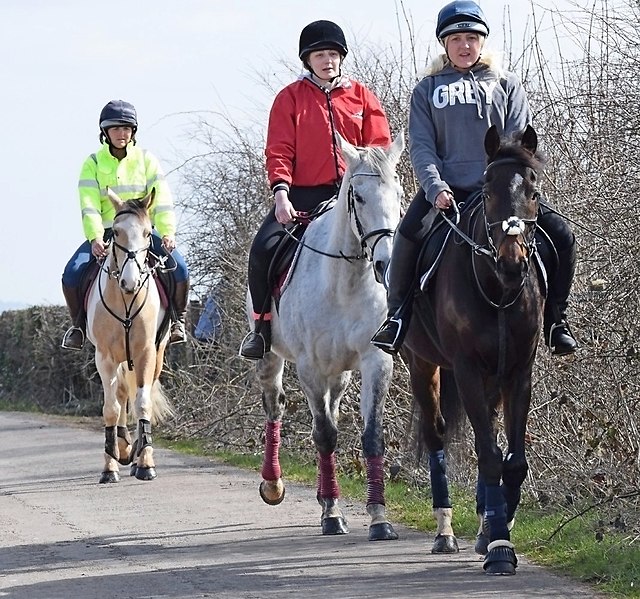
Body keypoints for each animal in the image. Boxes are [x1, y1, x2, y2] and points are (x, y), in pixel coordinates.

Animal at [86, 188, 174, 484]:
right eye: (116, 232)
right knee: (123, 392)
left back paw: (135, 453)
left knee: (136, 393)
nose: (130, 282)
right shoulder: (105, 358)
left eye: (148, 232)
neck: (125, 299)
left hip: (157, 354)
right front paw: (109, 466)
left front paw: (145, 464)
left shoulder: (145, 353)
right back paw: (123, 448)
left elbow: (143, 403)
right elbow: (111, 408)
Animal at [250, 133, 405, 541]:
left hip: (341, 373)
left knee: (332, 408)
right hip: (271, 358)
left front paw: (378, 518)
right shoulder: (310, 369)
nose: (387, 262)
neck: (345, 282)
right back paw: (273, 485)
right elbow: (325, 435)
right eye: (359, 196)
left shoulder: (375, 361)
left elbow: (371, 435)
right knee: (275, 407)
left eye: (398, 193)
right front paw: (333, 514)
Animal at [403, 125, 545, 574]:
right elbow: (488, 453)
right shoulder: (464, 369)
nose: (513, 263)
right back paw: (445, 532)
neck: (497, 290)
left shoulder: (518, 370)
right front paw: (500, 547)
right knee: (435, 435)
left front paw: (496, 531)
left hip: (491, 378)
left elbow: (512, 460)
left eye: (533, 191)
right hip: (423, 365)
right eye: (486, 190)